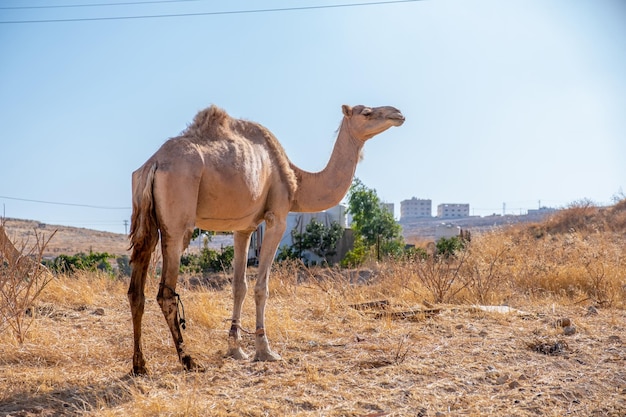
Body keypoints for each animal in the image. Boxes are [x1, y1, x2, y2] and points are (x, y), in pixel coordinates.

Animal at [129, 103, 402, 374]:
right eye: (366, 112)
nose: (397, 114)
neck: (297, 181)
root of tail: (154, 164)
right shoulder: (277, 217)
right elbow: (261, 287)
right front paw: (265, 351)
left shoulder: (243, 227)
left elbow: (239, 286)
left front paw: (236, 349)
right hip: (178, 222)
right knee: (165, 293)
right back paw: (188, 360)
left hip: (146, 223)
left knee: (136, 291)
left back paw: (140, 364)